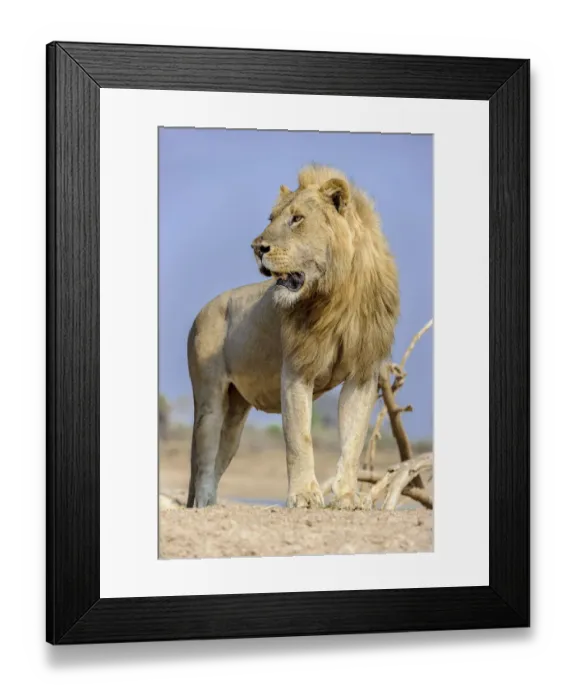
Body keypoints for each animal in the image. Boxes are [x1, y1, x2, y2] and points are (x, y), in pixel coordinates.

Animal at [186, 164, 400, 510]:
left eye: (297, 219)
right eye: (271, 218)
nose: (256, 247)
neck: (338, 297)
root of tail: (201, 311)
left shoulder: (363, 374)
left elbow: (353, 439)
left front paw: (348, 496)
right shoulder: (297, 369)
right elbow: (300, 437)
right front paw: (304, 496)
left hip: (235, 414)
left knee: (220, 455)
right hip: (210, 399)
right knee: (203, 459)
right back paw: (204, 506)